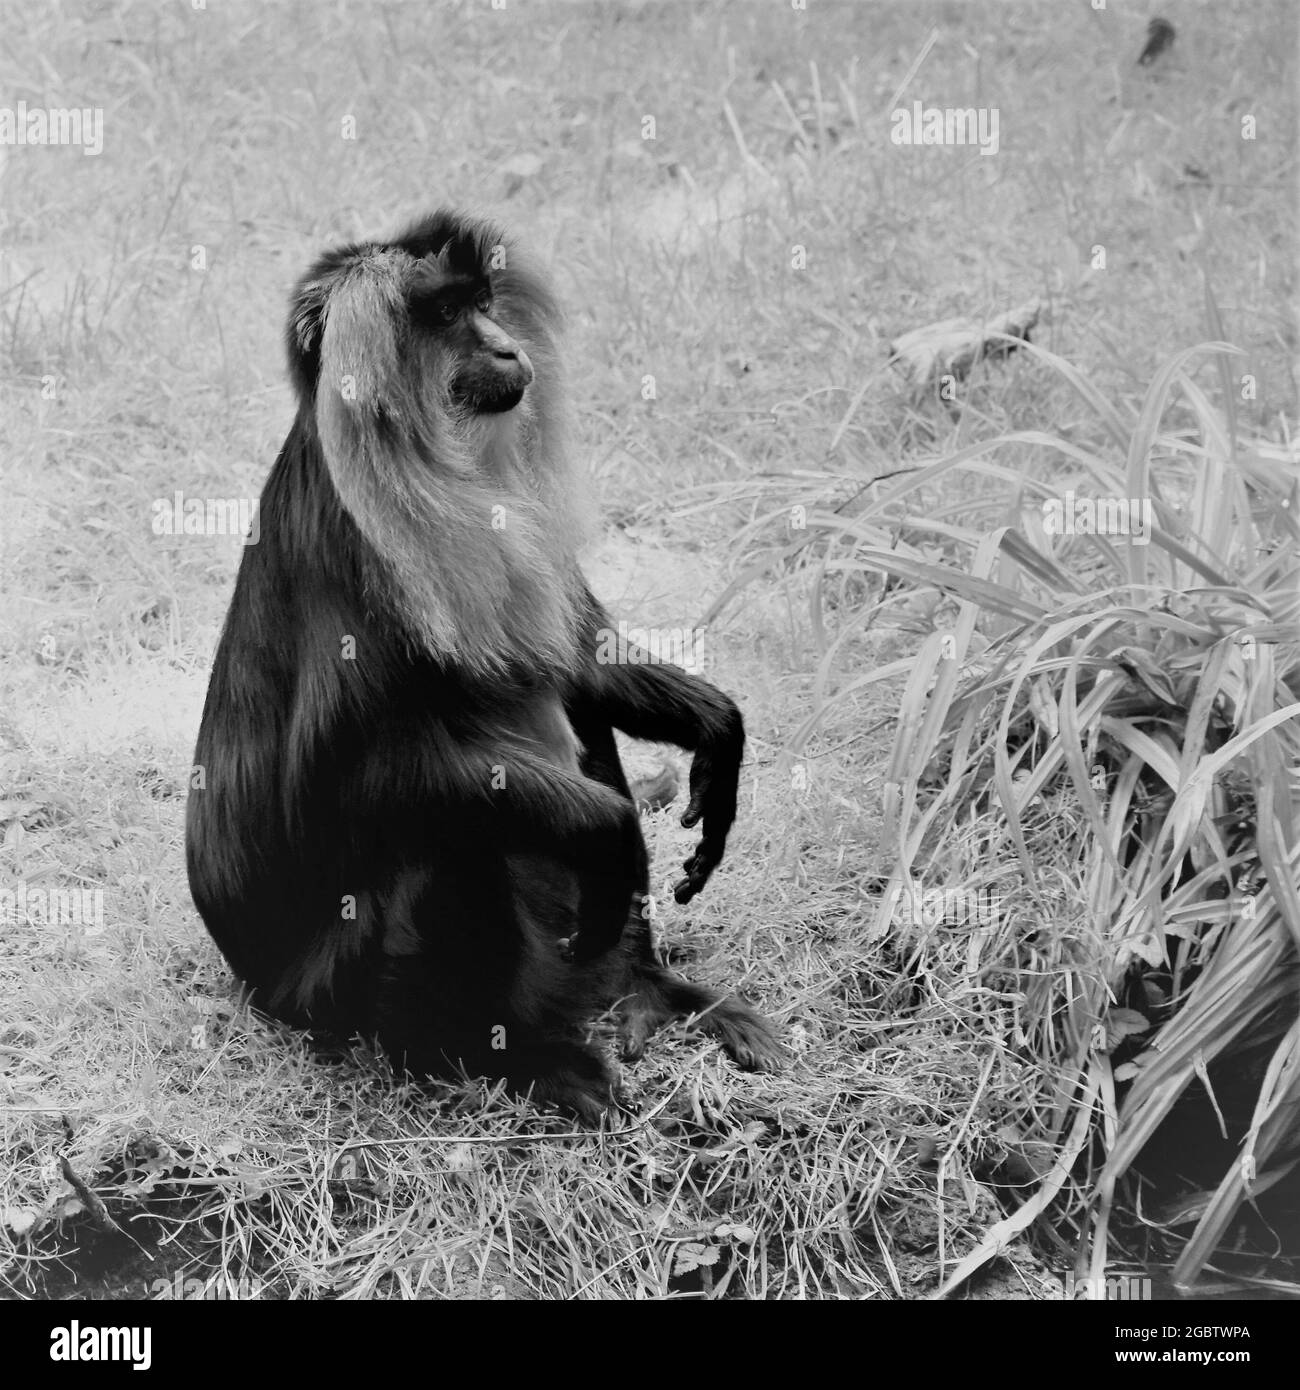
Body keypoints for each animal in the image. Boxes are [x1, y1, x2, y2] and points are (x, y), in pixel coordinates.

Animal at [184, 205, 789, 1117]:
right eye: (442, 316)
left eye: (481, 304)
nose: (506, 348)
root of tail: (257, 984)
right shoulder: (355, 552)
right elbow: (346, 782)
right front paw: (611, 833)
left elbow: (578, 661)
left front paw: (717, 731)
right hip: (338, 989)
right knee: (447, 842)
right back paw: (504, 1057)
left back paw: (637, 986)